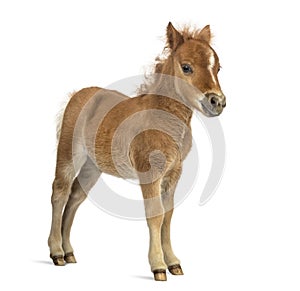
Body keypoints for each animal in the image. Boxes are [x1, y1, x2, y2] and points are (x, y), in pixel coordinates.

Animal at [48, 22, 225, 282]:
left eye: (218, 67)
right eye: (186, 67)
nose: (217, 102)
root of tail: (78, 94)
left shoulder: (173, 173)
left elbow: (168, 216)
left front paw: (174, 263)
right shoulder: (149, 172)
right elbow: (155, 215)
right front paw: (158, 266)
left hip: (93, 165)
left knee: (76, 196)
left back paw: (69, 251)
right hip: (70, 154)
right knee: (60, 192)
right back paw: (57, 252)